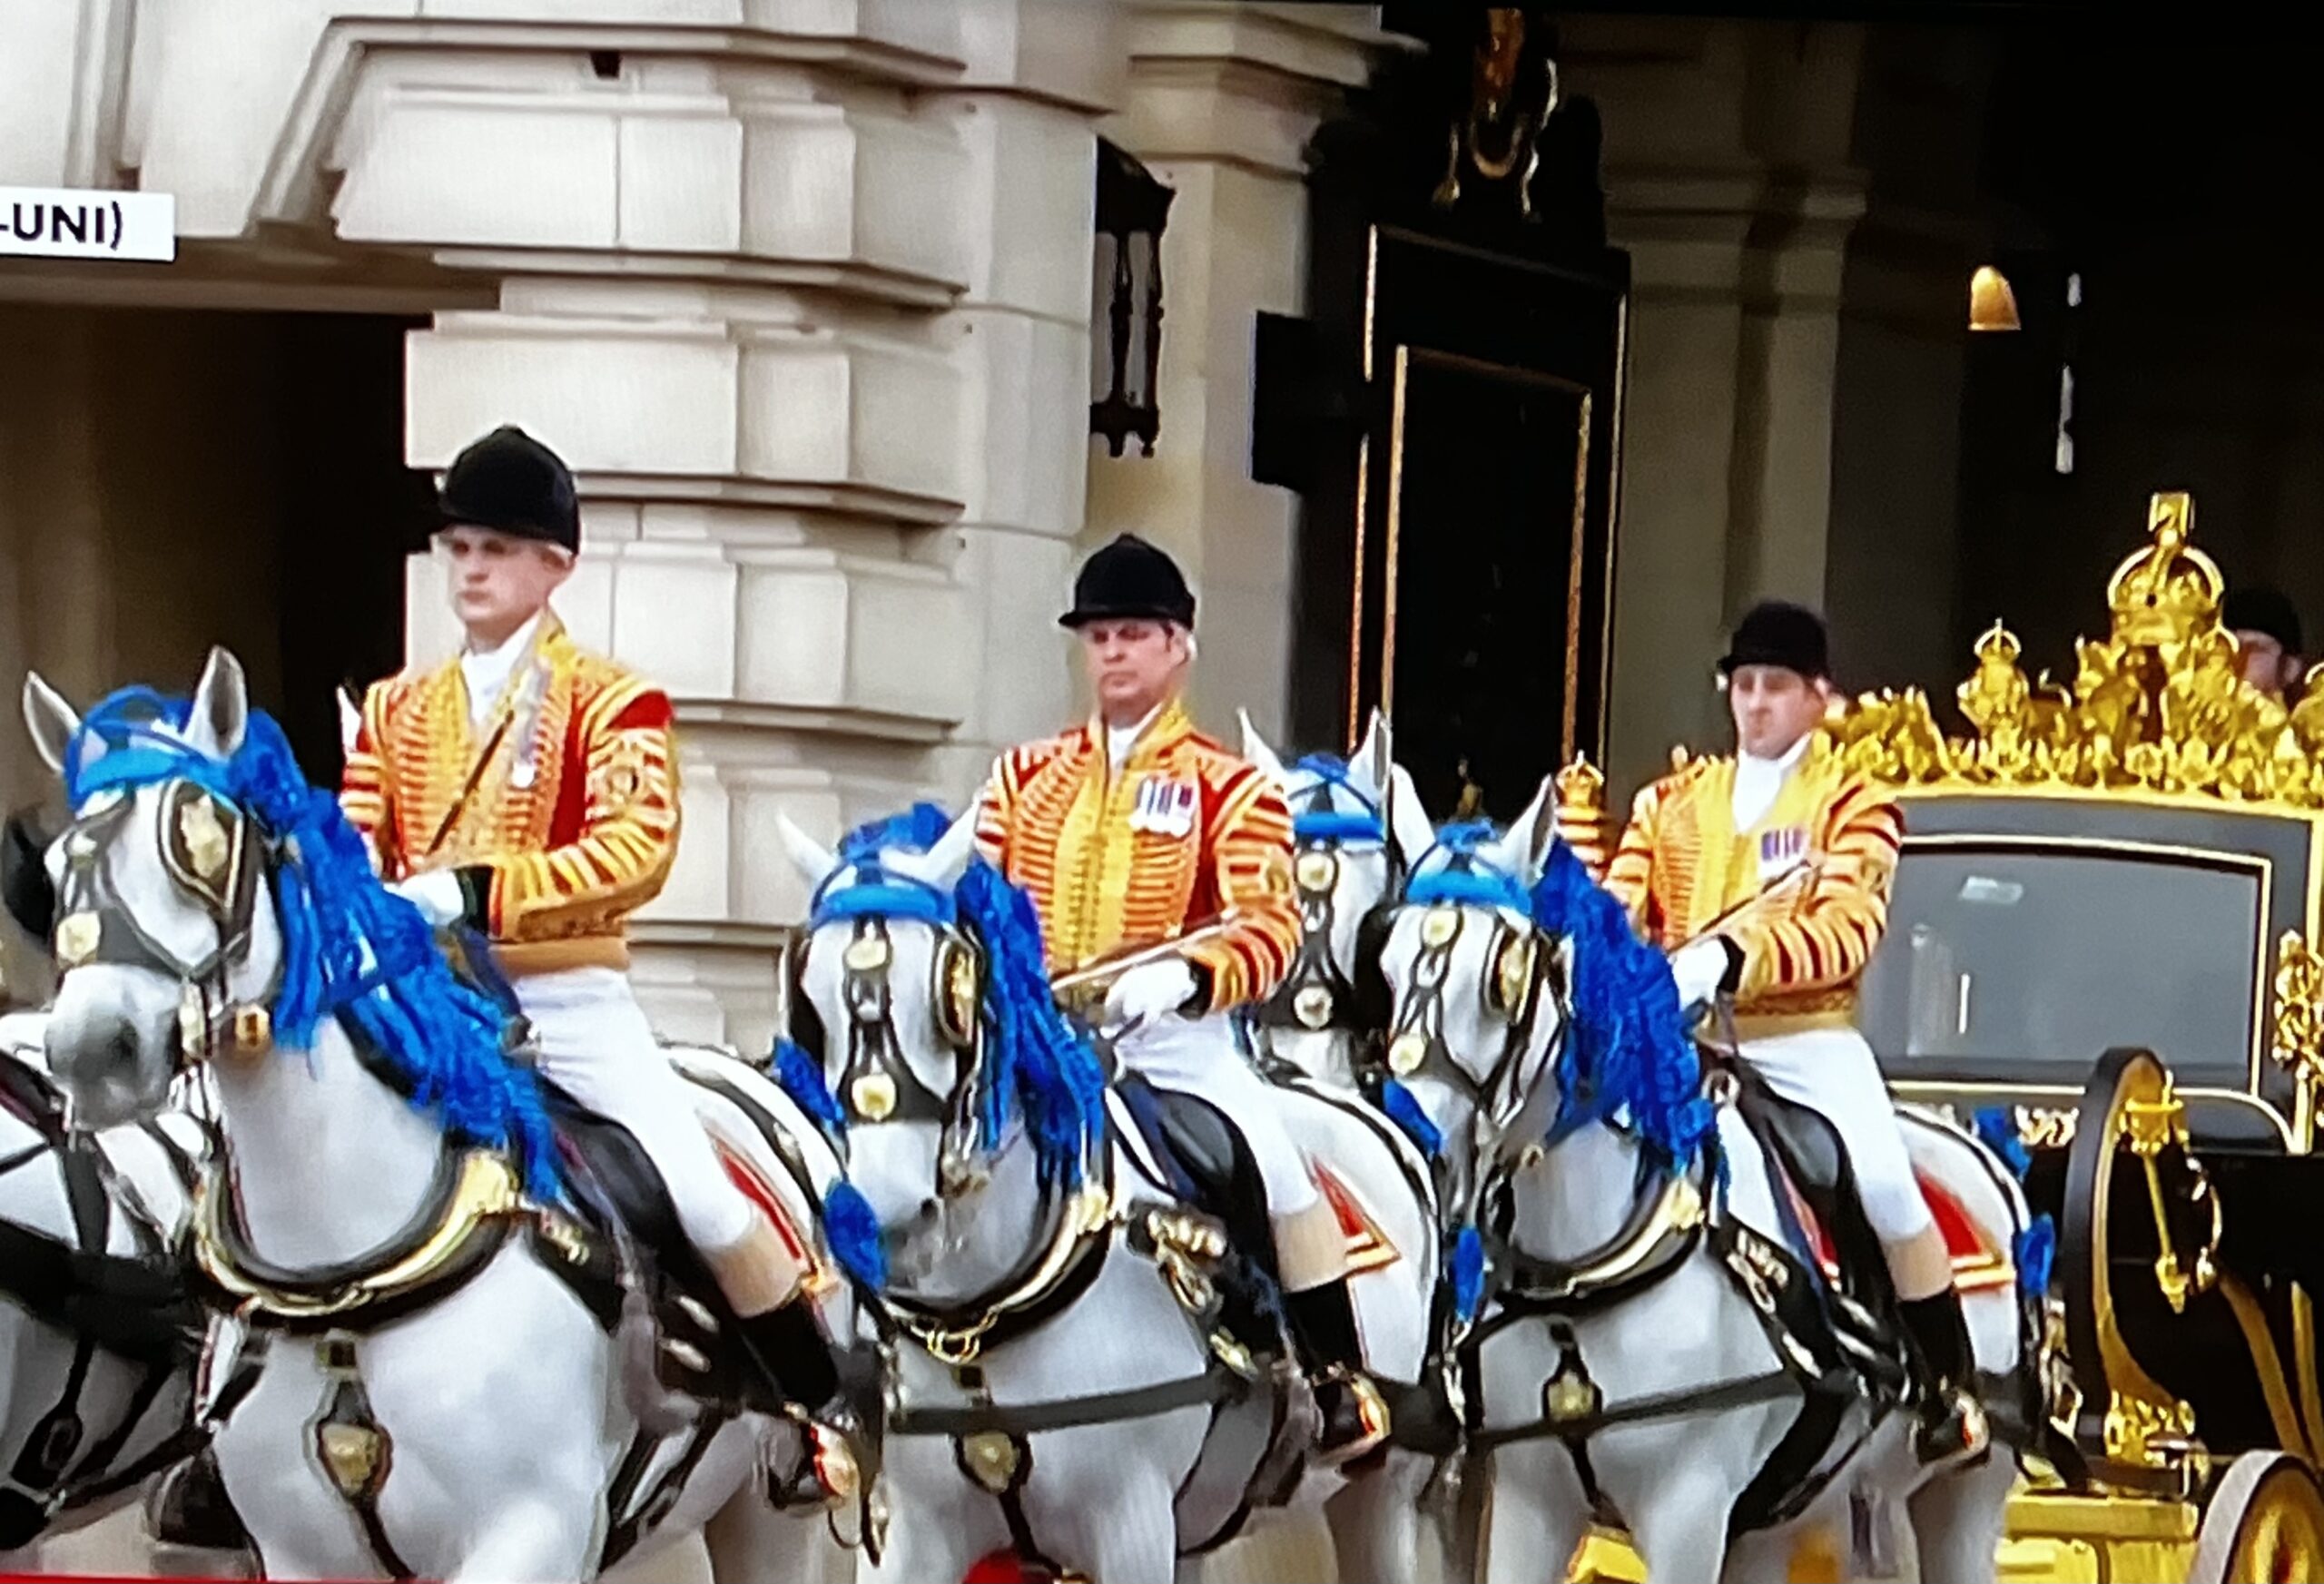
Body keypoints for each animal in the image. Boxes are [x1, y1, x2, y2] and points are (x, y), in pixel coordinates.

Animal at [26, 648, 858, 1583]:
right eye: (55, 866)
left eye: (202, 844)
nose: (94, 1048)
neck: (342, 1278)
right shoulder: (297, 1551)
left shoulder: (529, 1531)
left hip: (768, 1511)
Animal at [774, 803, 1452, 1584]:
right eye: (809, 1001)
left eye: (953, 992)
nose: (892, 1221)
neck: (986, 1320)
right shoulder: (916, 1536)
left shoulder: (1129, 1525)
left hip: (1380, 1492)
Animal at [1371, 778, 2036, 1584]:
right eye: (1387, 961)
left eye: (1506, 975)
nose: (1421, 1137)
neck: (1587, 1273)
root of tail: (1982, 1151)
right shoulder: (1532, 1504)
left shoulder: (1687, 1510)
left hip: (1967, 1495)